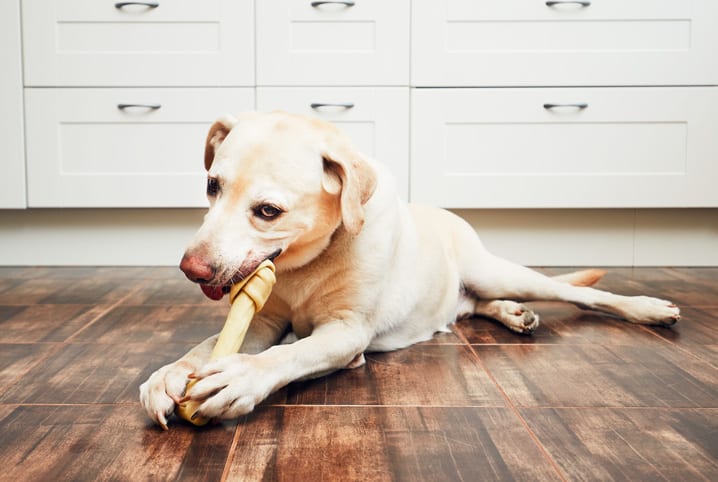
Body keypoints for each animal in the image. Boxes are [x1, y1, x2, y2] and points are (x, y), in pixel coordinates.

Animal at [139, 111, 680, 428]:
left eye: (268, 211)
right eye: (212, 186)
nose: (190, 269)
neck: (307, 263)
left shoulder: (347, 333)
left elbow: (287, 355)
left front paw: (239, 378)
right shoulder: (263, 318)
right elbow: (208, 345)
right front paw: (171, 373)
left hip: (499, 271)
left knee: (582, 295)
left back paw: (648, 308)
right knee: (477, 305)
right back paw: (512, 314)